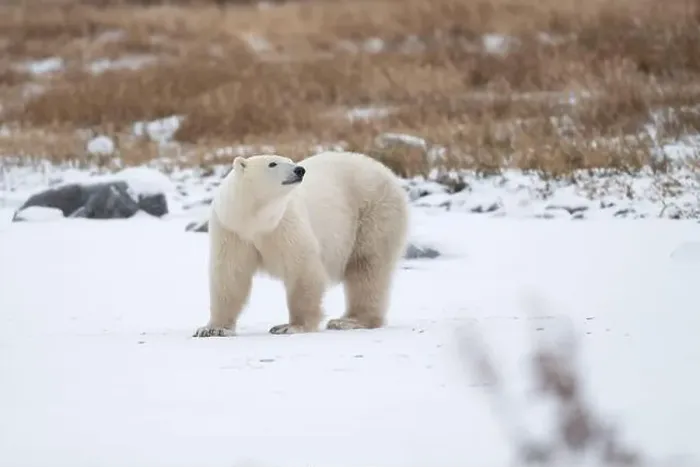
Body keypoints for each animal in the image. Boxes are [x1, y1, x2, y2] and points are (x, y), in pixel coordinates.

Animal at [193, 150, 410, 337]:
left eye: (290, 160)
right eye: (272, 163)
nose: (299, 170)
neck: (255, 220)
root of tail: (386, 171)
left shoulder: (284, 224)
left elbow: (302, 269)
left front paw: (290, 326)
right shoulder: (232, 230)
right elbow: (230, 275)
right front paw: (212, 329)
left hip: (374, 212)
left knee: (366, 267)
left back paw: (349, 321)